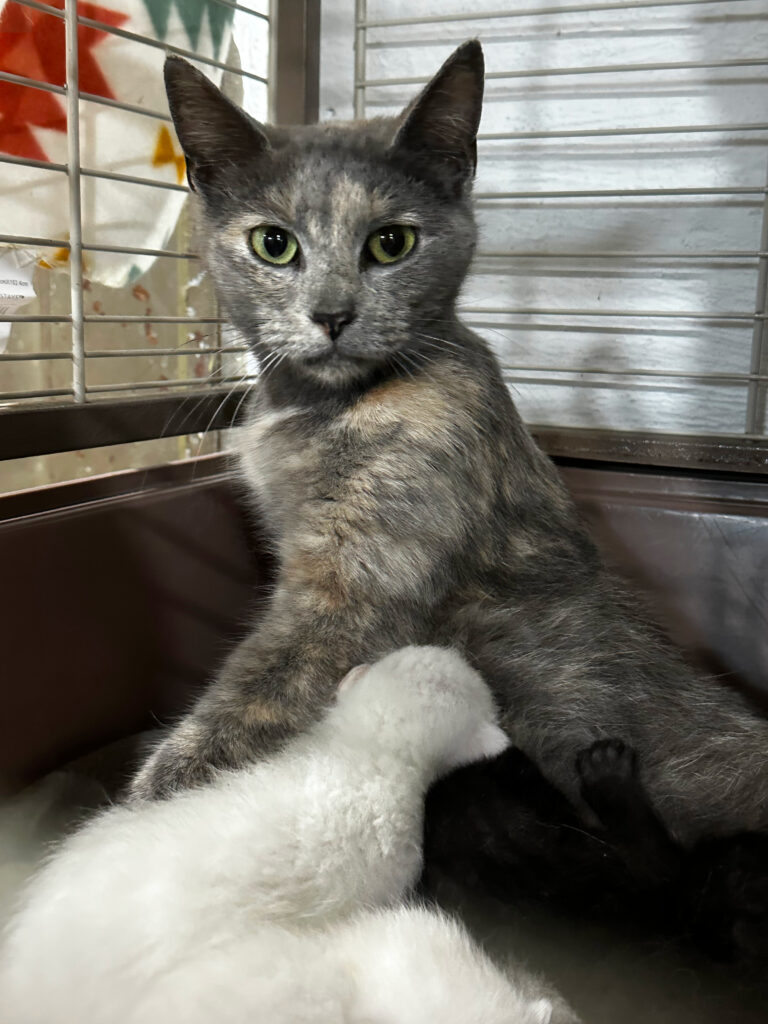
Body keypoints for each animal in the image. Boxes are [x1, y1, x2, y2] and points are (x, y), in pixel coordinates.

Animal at [130, 43, 768, 852]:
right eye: (273, 244)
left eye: (391, 242)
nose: (332, 314)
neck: (320, 407)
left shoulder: (352, 590)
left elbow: (260, 693)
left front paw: (148, 805)